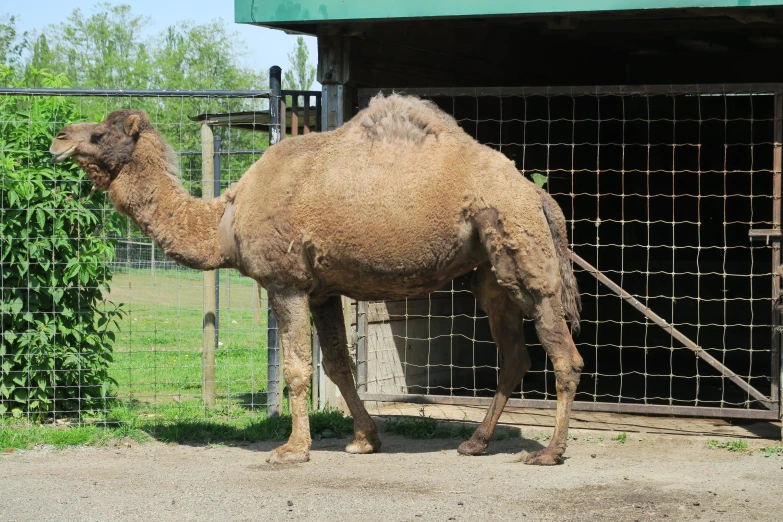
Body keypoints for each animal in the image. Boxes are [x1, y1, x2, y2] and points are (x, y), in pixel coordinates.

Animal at [49, 93, 584, 464]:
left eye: (100, 135)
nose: (58, 138)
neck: (225, 220)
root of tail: (536, 194)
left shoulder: (285, 283)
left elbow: (296, 369)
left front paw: (292, 449)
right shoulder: (323, 289)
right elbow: (339, 366)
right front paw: (365, 440)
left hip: (524, 253)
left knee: (564, 355)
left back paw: (549, 452)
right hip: (491, 271)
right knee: (514, 357)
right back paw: (475, 443)